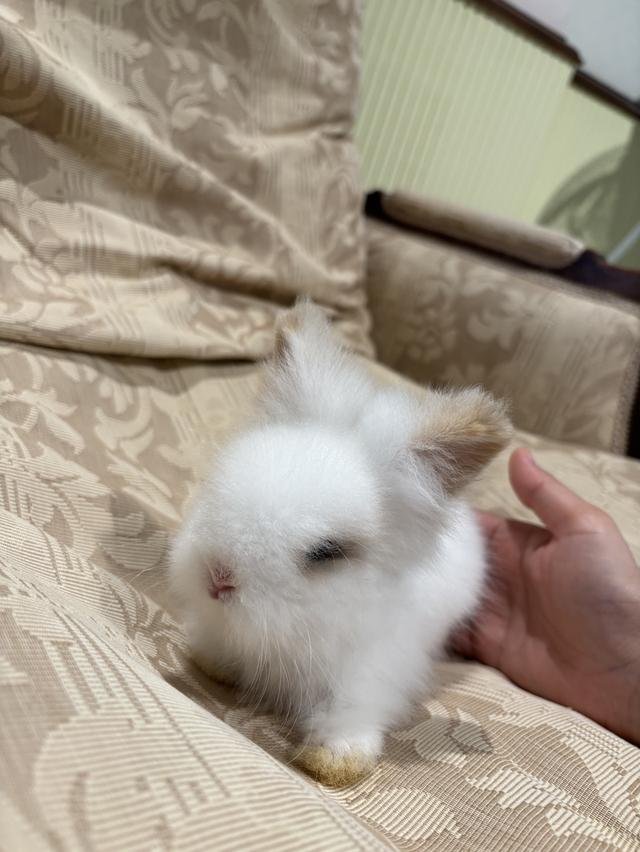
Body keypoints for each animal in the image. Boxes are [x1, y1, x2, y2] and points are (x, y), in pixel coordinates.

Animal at [169, 301, 512, 787]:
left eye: (326, 552)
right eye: (218, 489)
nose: (218, 579)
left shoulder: (369, 676)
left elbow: (348, 716)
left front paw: (335, 762)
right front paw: (210, 663)